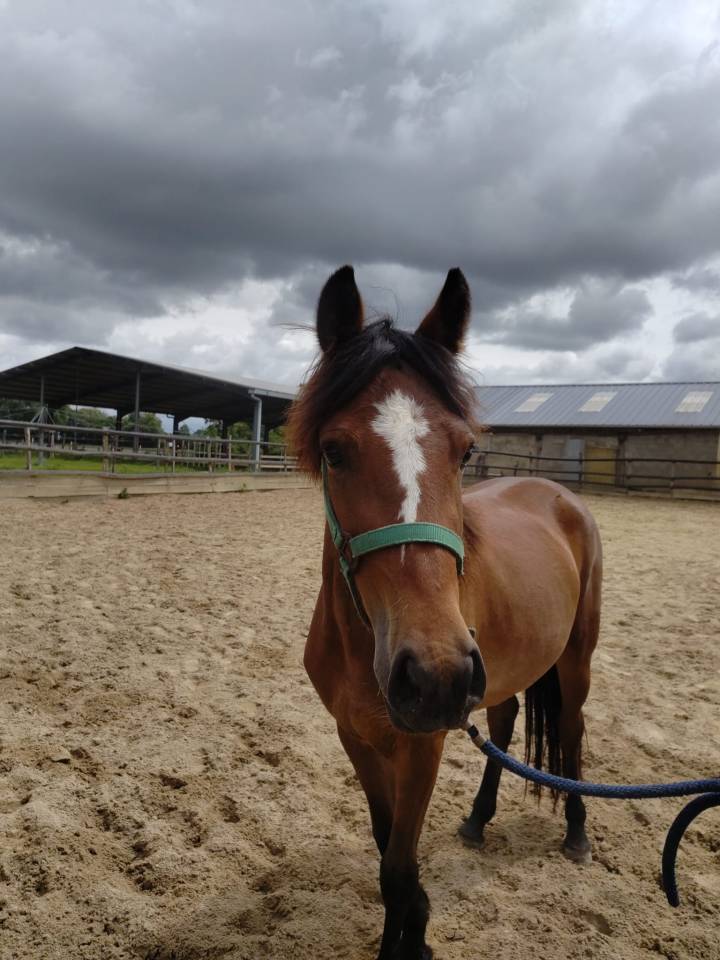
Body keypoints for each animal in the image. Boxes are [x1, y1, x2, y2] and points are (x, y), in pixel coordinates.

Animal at [286, 265, 602, 960]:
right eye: (333, 451)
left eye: (464, 452)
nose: (433, 675)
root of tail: (560, 493)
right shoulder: (356, 736)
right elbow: (388, 855)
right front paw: (419, 931)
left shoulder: (422, 743)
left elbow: (397, 869)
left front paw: (413, 939)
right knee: (506, 724)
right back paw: (479, 819)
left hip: (573, 660)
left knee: (570, 730)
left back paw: (576, 833)